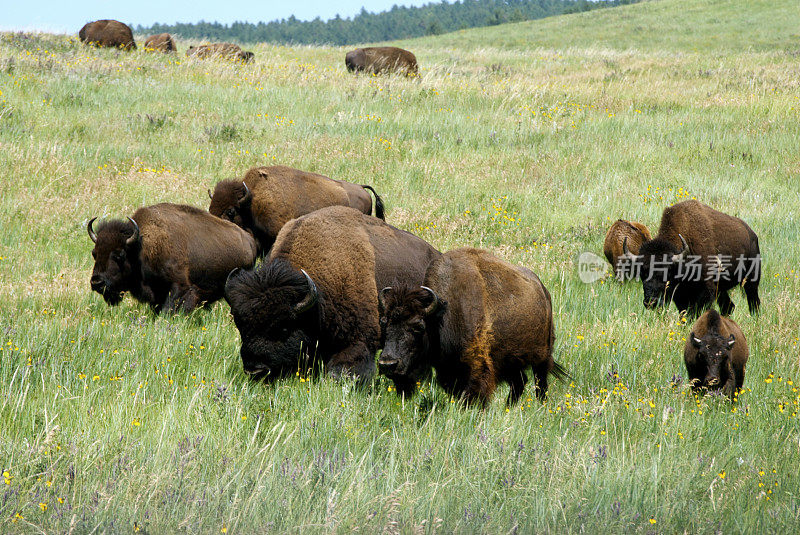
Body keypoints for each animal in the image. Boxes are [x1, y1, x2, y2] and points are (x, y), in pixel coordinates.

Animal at [88, 204, 256, 314]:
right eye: (94, 253)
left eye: (119, 254)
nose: (96, 282)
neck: (141, 248)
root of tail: (249, 240)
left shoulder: (179, 287)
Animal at [378, 247, 564, 406]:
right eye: (384, 323)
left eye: (418, 326)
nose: (387, 364)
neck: (443, 315)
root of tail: (543, 290)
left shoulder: (477, 366)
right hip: (510, 360)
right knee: (519, 382)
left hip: (542, 356)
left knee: (540, 382)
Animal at [620, 201, 764, 318]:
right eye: (642, 272)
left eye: (667, 272)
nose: (652, 302)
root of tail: (752, 235)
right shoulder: (681, 295)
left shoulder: (706, 291)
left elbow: (695, 312)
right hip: (722, 289)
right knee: (728, 307)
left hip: (751, 280)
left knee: (753, 302)